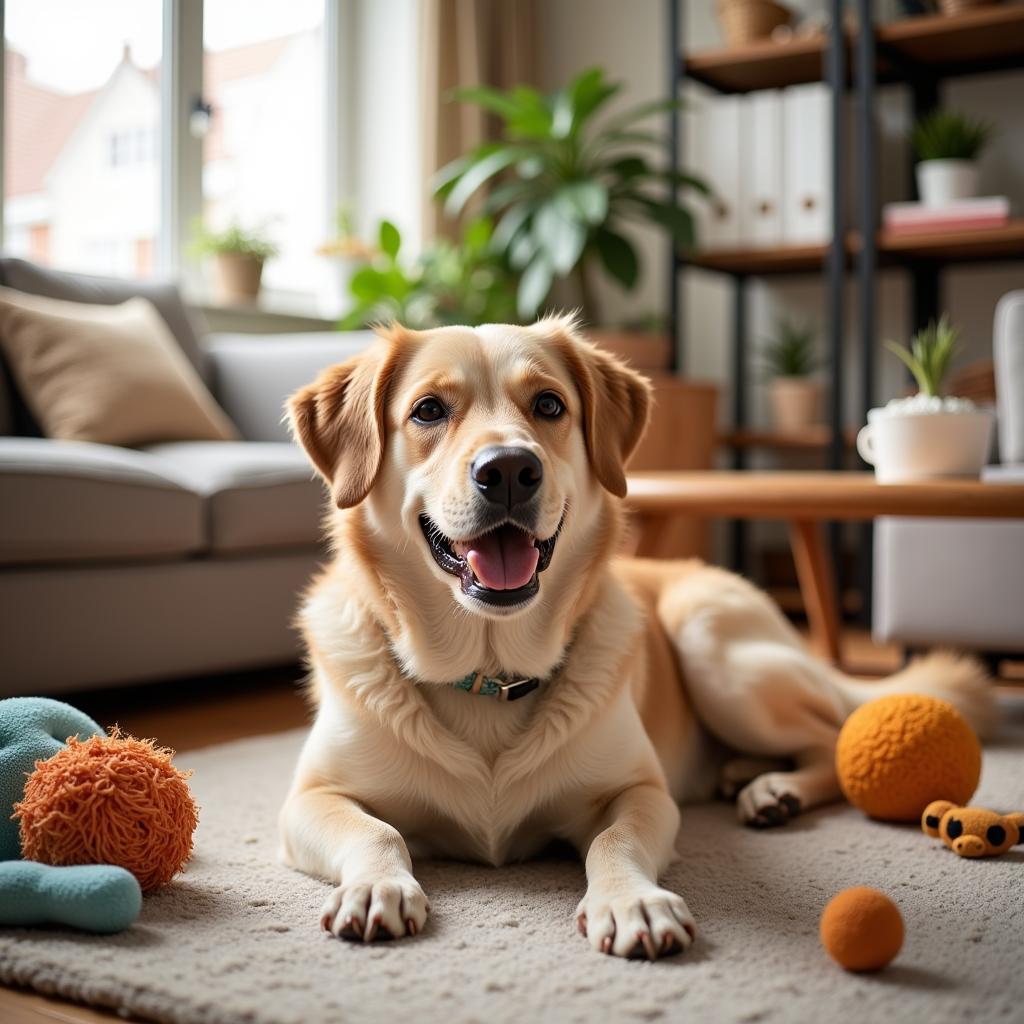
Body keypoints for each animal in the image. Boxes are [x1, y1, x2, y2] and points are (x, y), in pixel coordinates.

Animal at [278, 317, 991, 958]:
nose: (508, 470)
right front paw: (377, 886)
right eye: (428, 410)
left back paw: (774, 789)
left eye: (548, 404)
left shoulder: (642, 790)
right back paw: (745, 775)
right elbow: (377, 832)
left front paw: (632, 901)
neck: (490, 671)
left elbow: (611, 841)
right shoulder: (308, 799)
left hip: (714, 648)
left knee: (833, 738)